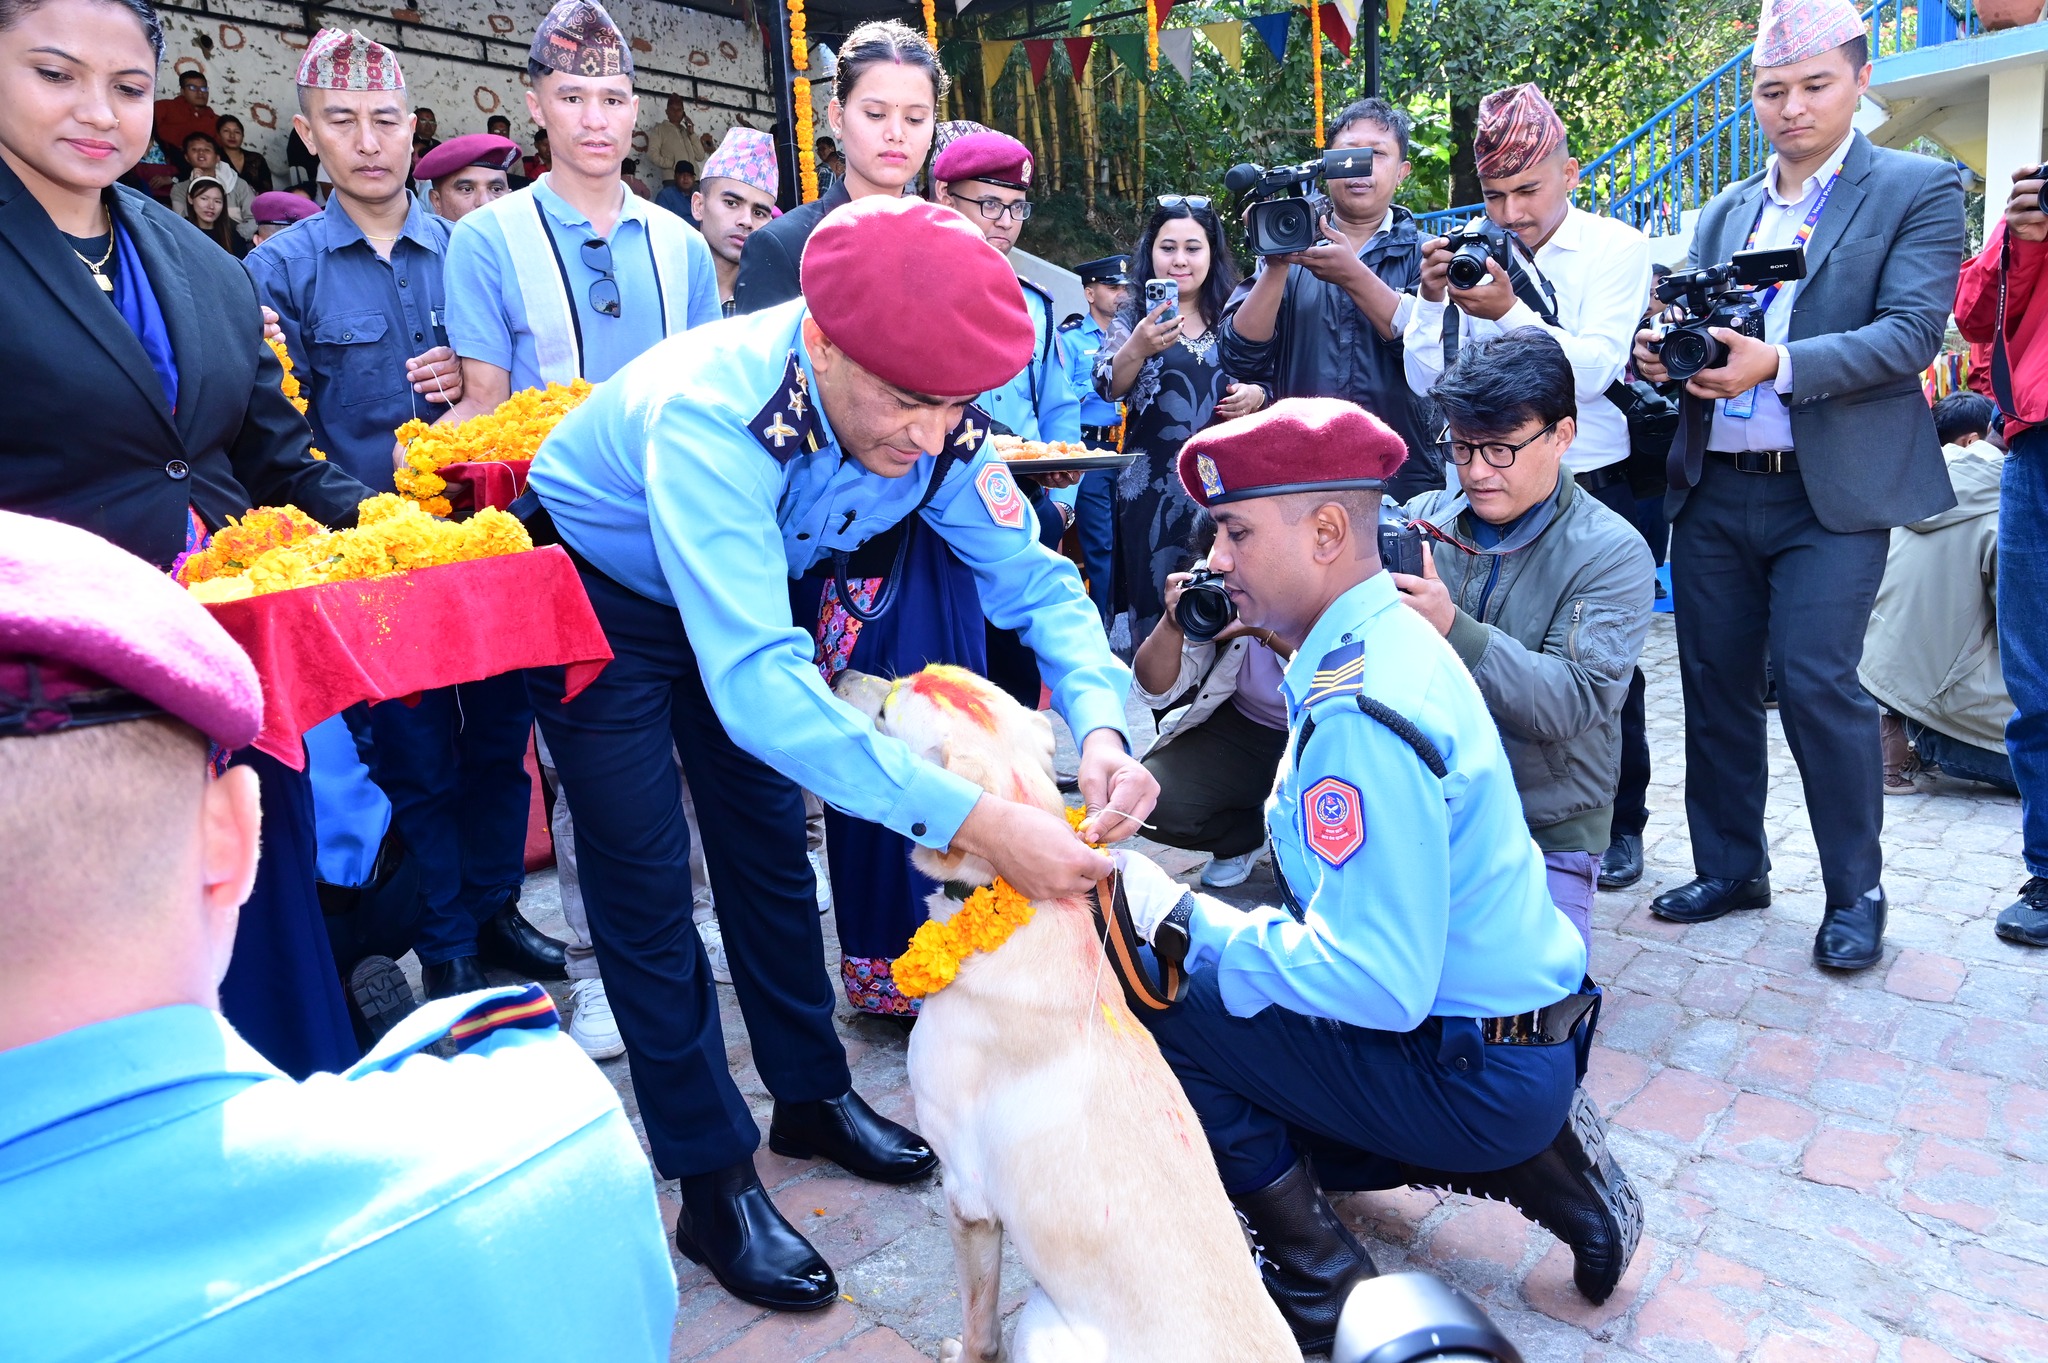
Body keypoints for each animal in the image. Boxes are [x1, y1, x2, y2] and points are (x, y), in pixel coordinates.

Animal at [831, 663, 1294, 1358]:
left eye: (887, 709)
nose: (835, 671)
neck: (1021, 907)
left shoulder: (966, 1192)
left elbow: (981, 1325)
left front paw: (962, 1351)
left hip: (1043, 1320)